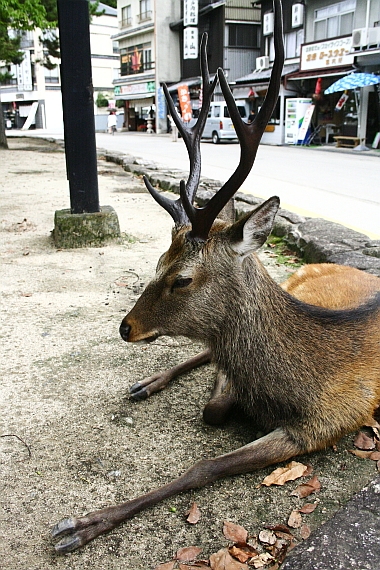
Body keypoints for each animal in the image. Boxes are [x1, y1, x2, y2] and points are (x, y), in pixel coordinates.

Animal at [51, 0, 380, 552]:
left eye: (182, 278)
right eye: (156, 264)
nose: (126, 327)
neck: (300, 381)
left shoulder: (324, 426)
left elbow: (202, 466)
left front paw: (81, 524)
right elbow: (214, 402)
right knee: (204, 352)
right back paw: (147, 382)